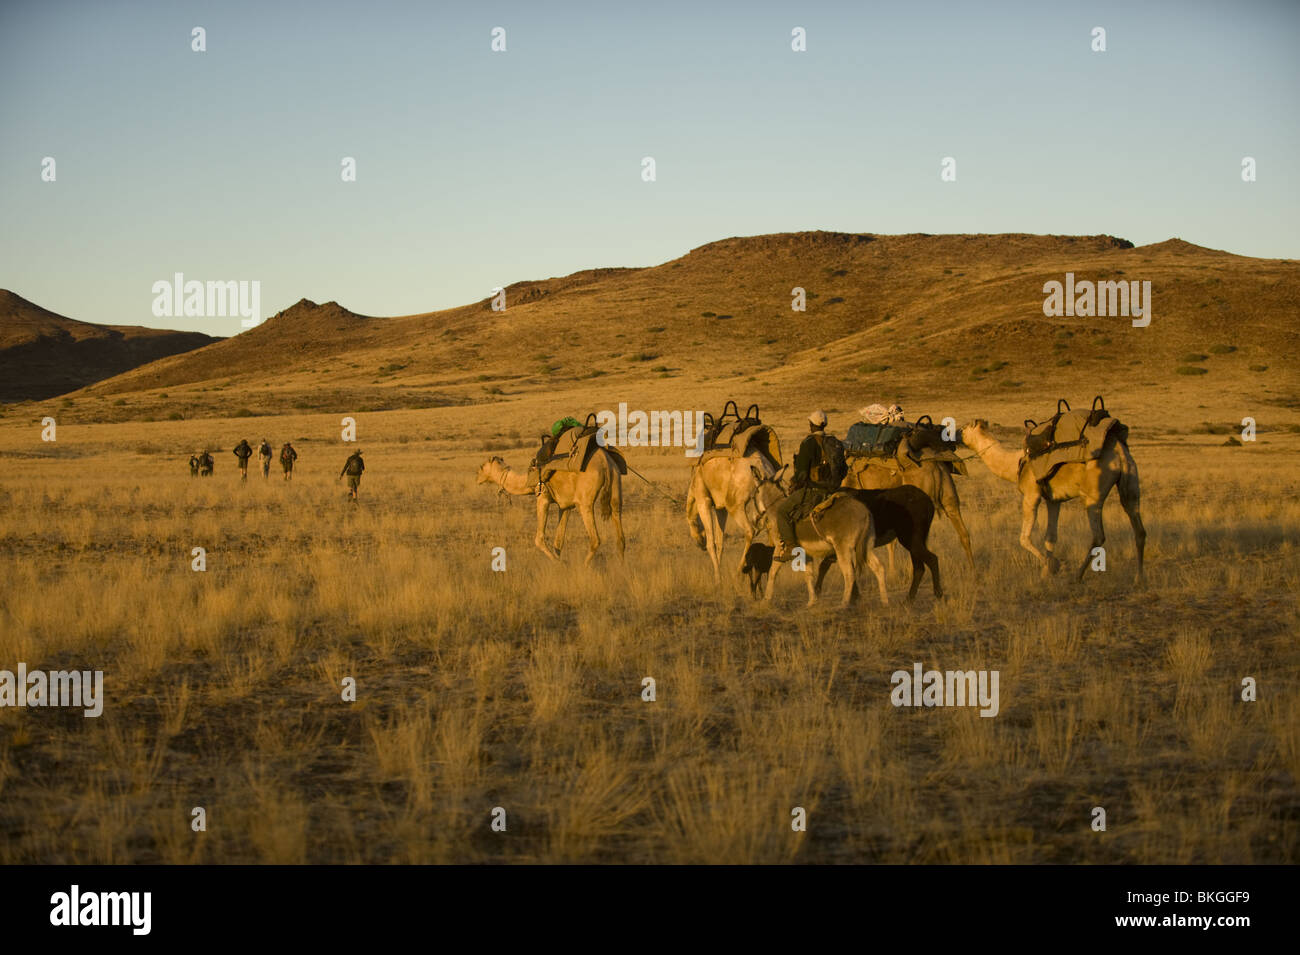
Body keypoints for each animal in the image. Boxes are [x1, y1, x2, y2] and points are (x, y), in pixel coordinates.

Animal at [478, 449, 624, 563]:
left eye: (481, 466)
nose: (477, 478)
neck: (527, 480)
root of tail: (605, 462)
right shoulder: (565, 506)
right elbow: (558, 541)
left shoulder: (542, 497)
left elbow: (539, 539)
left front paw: (560, 564)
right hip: (616, 487)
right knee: (620, 534)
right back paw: (621, 568)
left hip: (584, 502)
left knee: (595, 539)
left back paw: (585, 567)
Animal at [686, 449, 774, 579]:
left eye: (695, 524)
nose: (700, 544)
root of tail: (763, 468)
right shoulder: (721, 508)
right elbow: (720, 542)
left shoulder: (703, 501)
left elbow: (711, 543)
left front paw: (717, 577)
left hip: (734, 504)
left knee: (750, 530)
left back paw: (738, 572)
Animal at [748, 472, 889, 613]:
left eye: (753, 496)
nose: (754, 520)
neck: (776, 509)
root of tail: (864, 512)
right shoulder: (805, 553)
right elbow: (809, 575)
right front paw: (812, 602)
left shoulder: (780, 547)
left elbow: (773, 572)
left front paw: (765, 601)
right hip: (866, 547)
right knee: (879, 567)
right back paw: (884, 602)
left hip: (842, 549)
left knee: (849, 573)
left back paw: (843, 604)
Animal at [956, 420, 1149, 582]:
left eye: (964, 428)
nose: (955, 435)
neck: (1015, 463)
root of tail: (1120, 453)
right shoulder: (1054, 500)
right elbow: (1050, 537)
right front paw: (1046, 573)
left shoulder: (1031, 495)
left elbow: (1023, 538)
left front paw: (1052, 566)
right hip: (1131, 483)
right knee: (1139, 528)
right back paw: (1139, 577)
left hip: (1092, 495)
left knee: (1099, 535)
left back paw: (1078, 575)